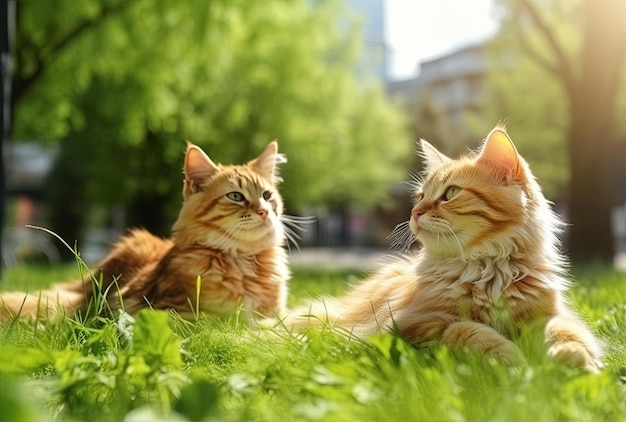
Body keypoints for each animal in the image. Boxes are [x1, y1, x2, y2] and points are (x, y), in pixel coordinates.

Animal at [0, 142, 288, 324]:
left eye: (267, 196)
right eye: (236, 196)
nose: (264, 211)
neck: (245, 262)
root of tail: (81, 290)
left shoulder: (276, 311)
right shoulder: (174, 311)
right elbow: (241, 326)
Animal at [278, 127, 600, 370]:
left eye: (451, 194)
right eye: (421, 196)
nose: (414, 212)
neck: (487, 268)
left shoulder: (550, 314)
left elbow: (567, 331)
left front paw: (574, 359)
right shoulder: (411, 324)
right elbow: (465, 330)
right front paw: (509, 357)